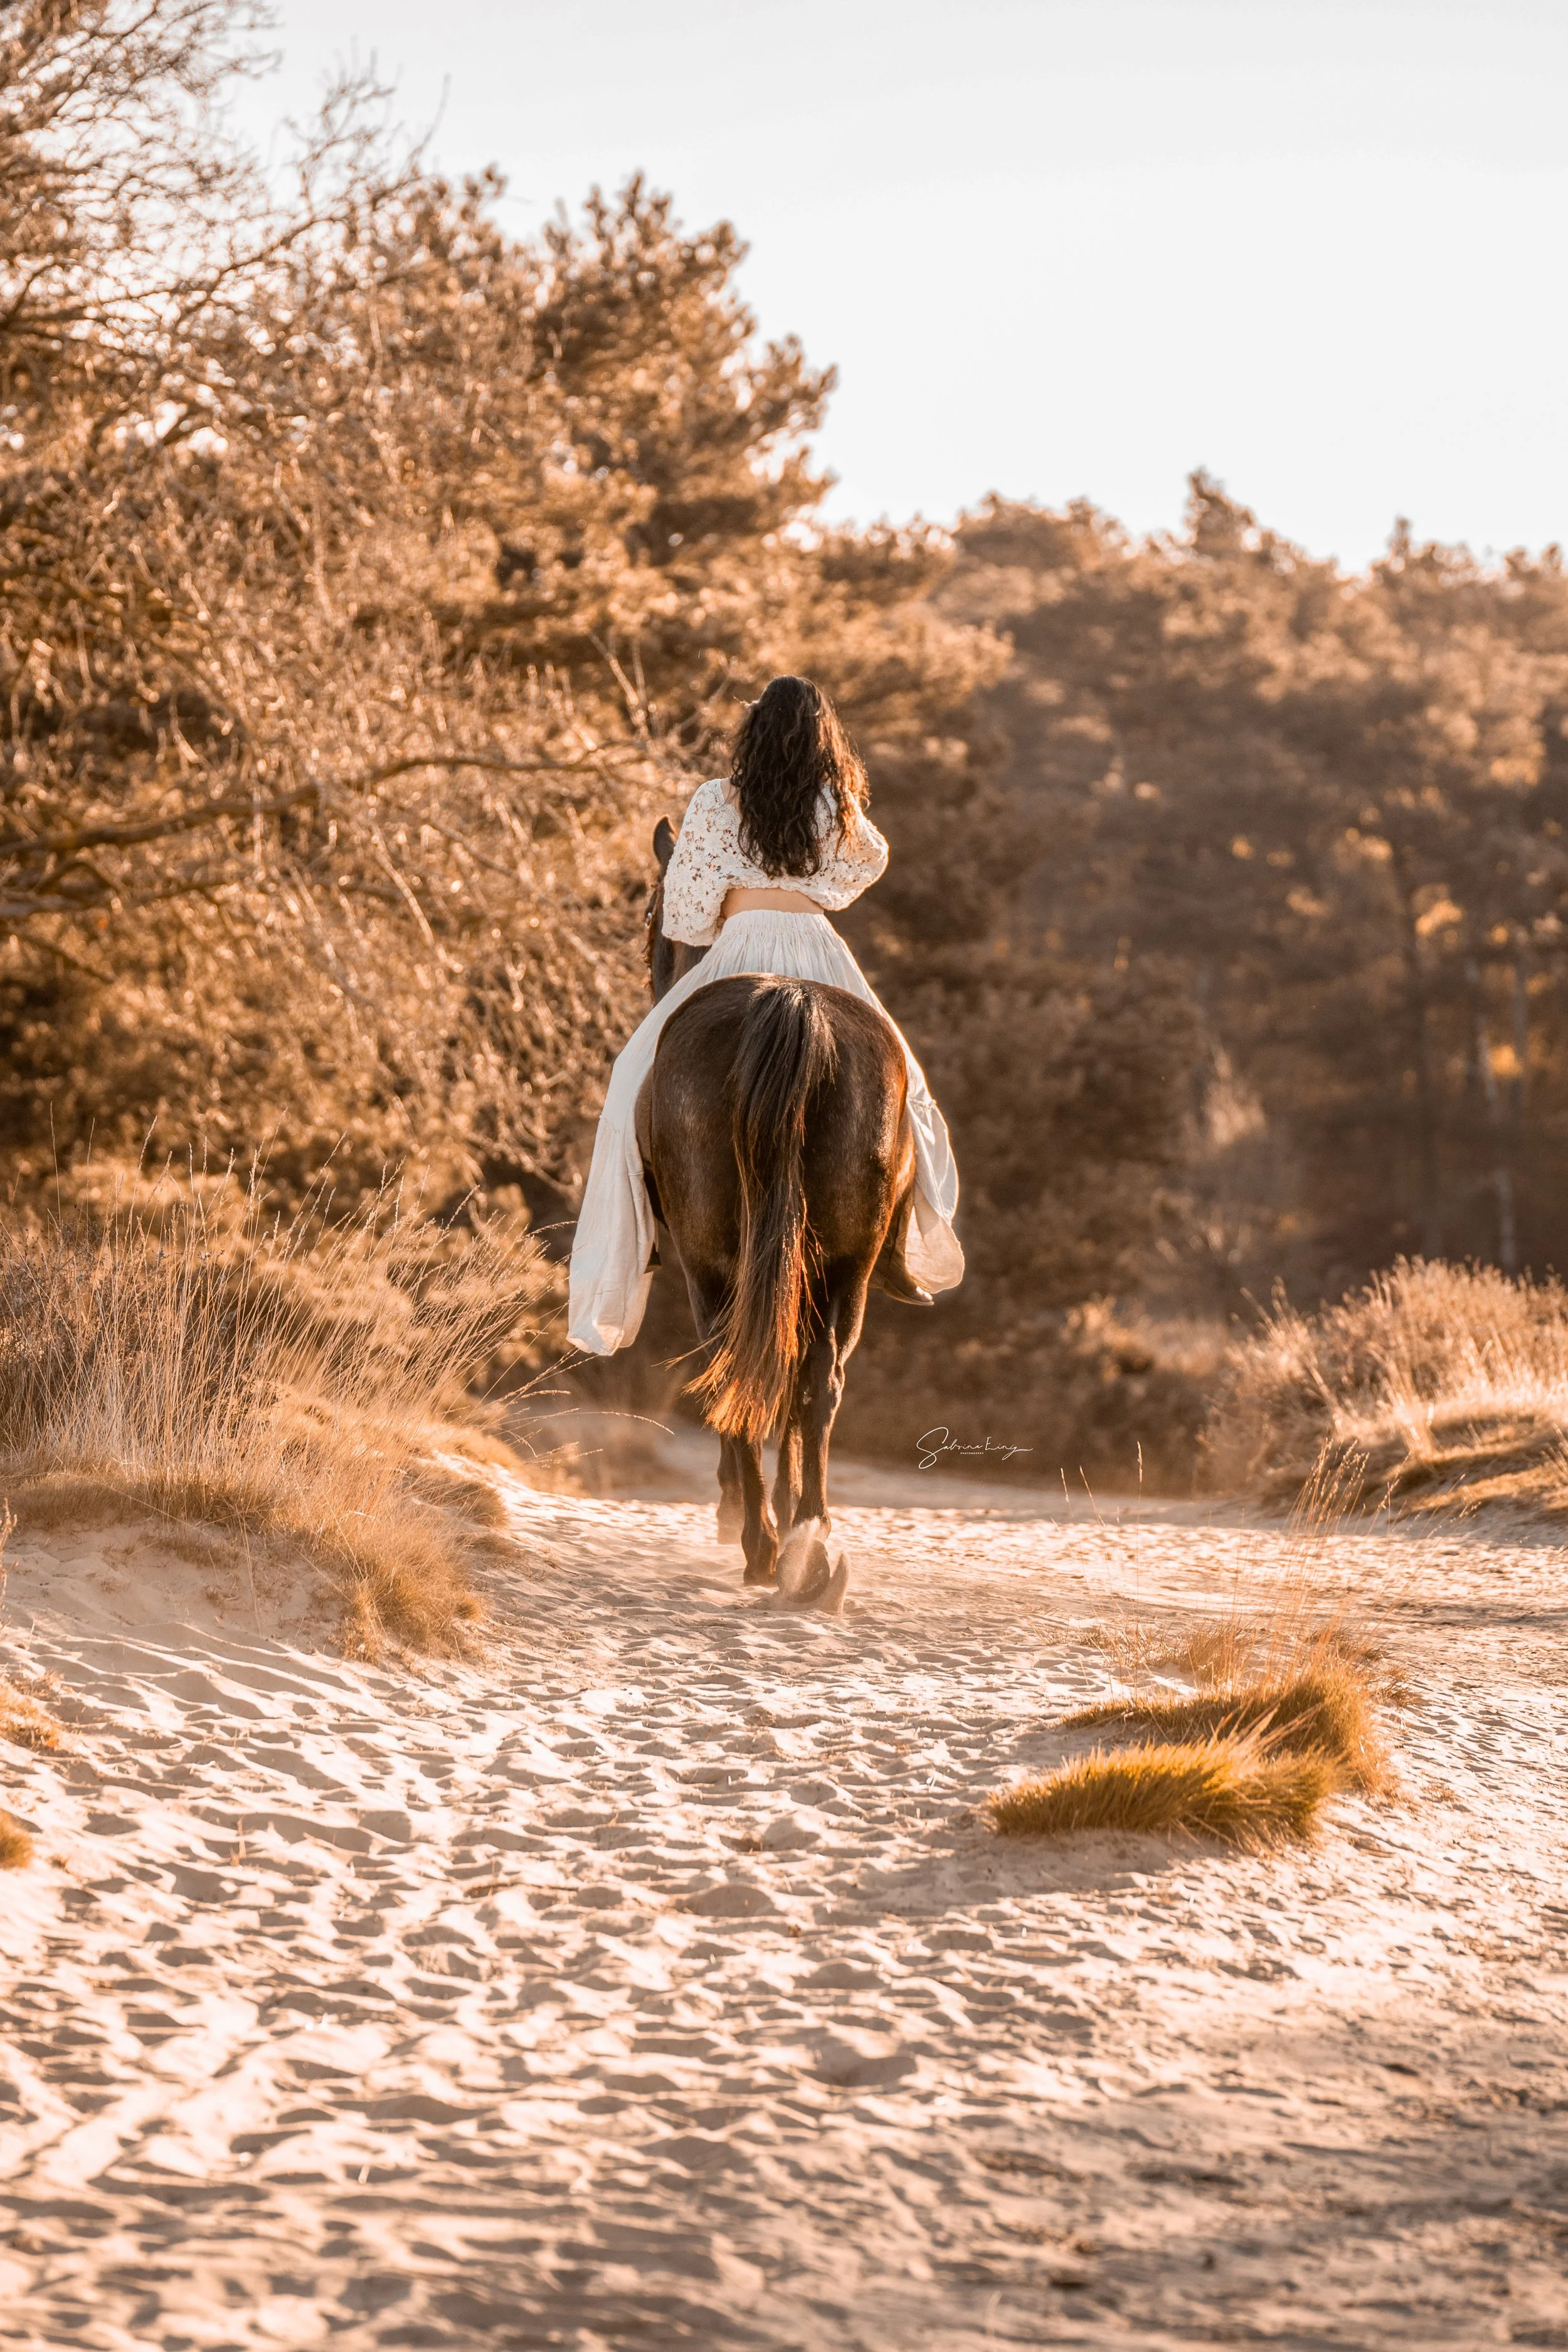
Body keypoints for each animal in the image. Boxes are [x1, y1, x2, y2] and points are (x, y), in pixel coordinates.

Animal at [636, 817, 915, 1608]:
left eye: (649, 914)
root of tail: (792, 1006)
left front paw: (746, 1509)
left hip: (712, 1264)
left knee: (733, 1367)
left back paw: (761, 1543)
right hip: (845, 1267)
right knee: (817, 1383)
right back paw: (811, 1548)